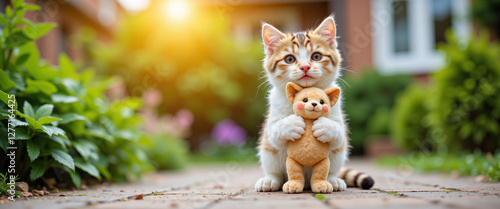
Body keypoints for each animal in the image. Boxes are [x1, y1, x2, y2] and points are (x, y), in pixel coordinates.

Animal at [256, 16, 374, 193]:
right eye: (289, 59)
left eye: (316, 56)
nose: (305, 66)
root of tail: (306, 182)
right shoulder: (272, 119)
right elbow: (275, 131)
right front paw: (291, 124)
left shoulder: (338, 115)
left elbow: (338, 132)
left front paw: (325, 126)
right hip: (268, 154)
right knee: (275, 168)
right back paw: (270, 180)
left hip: (338, 155)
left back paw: (333, 180)